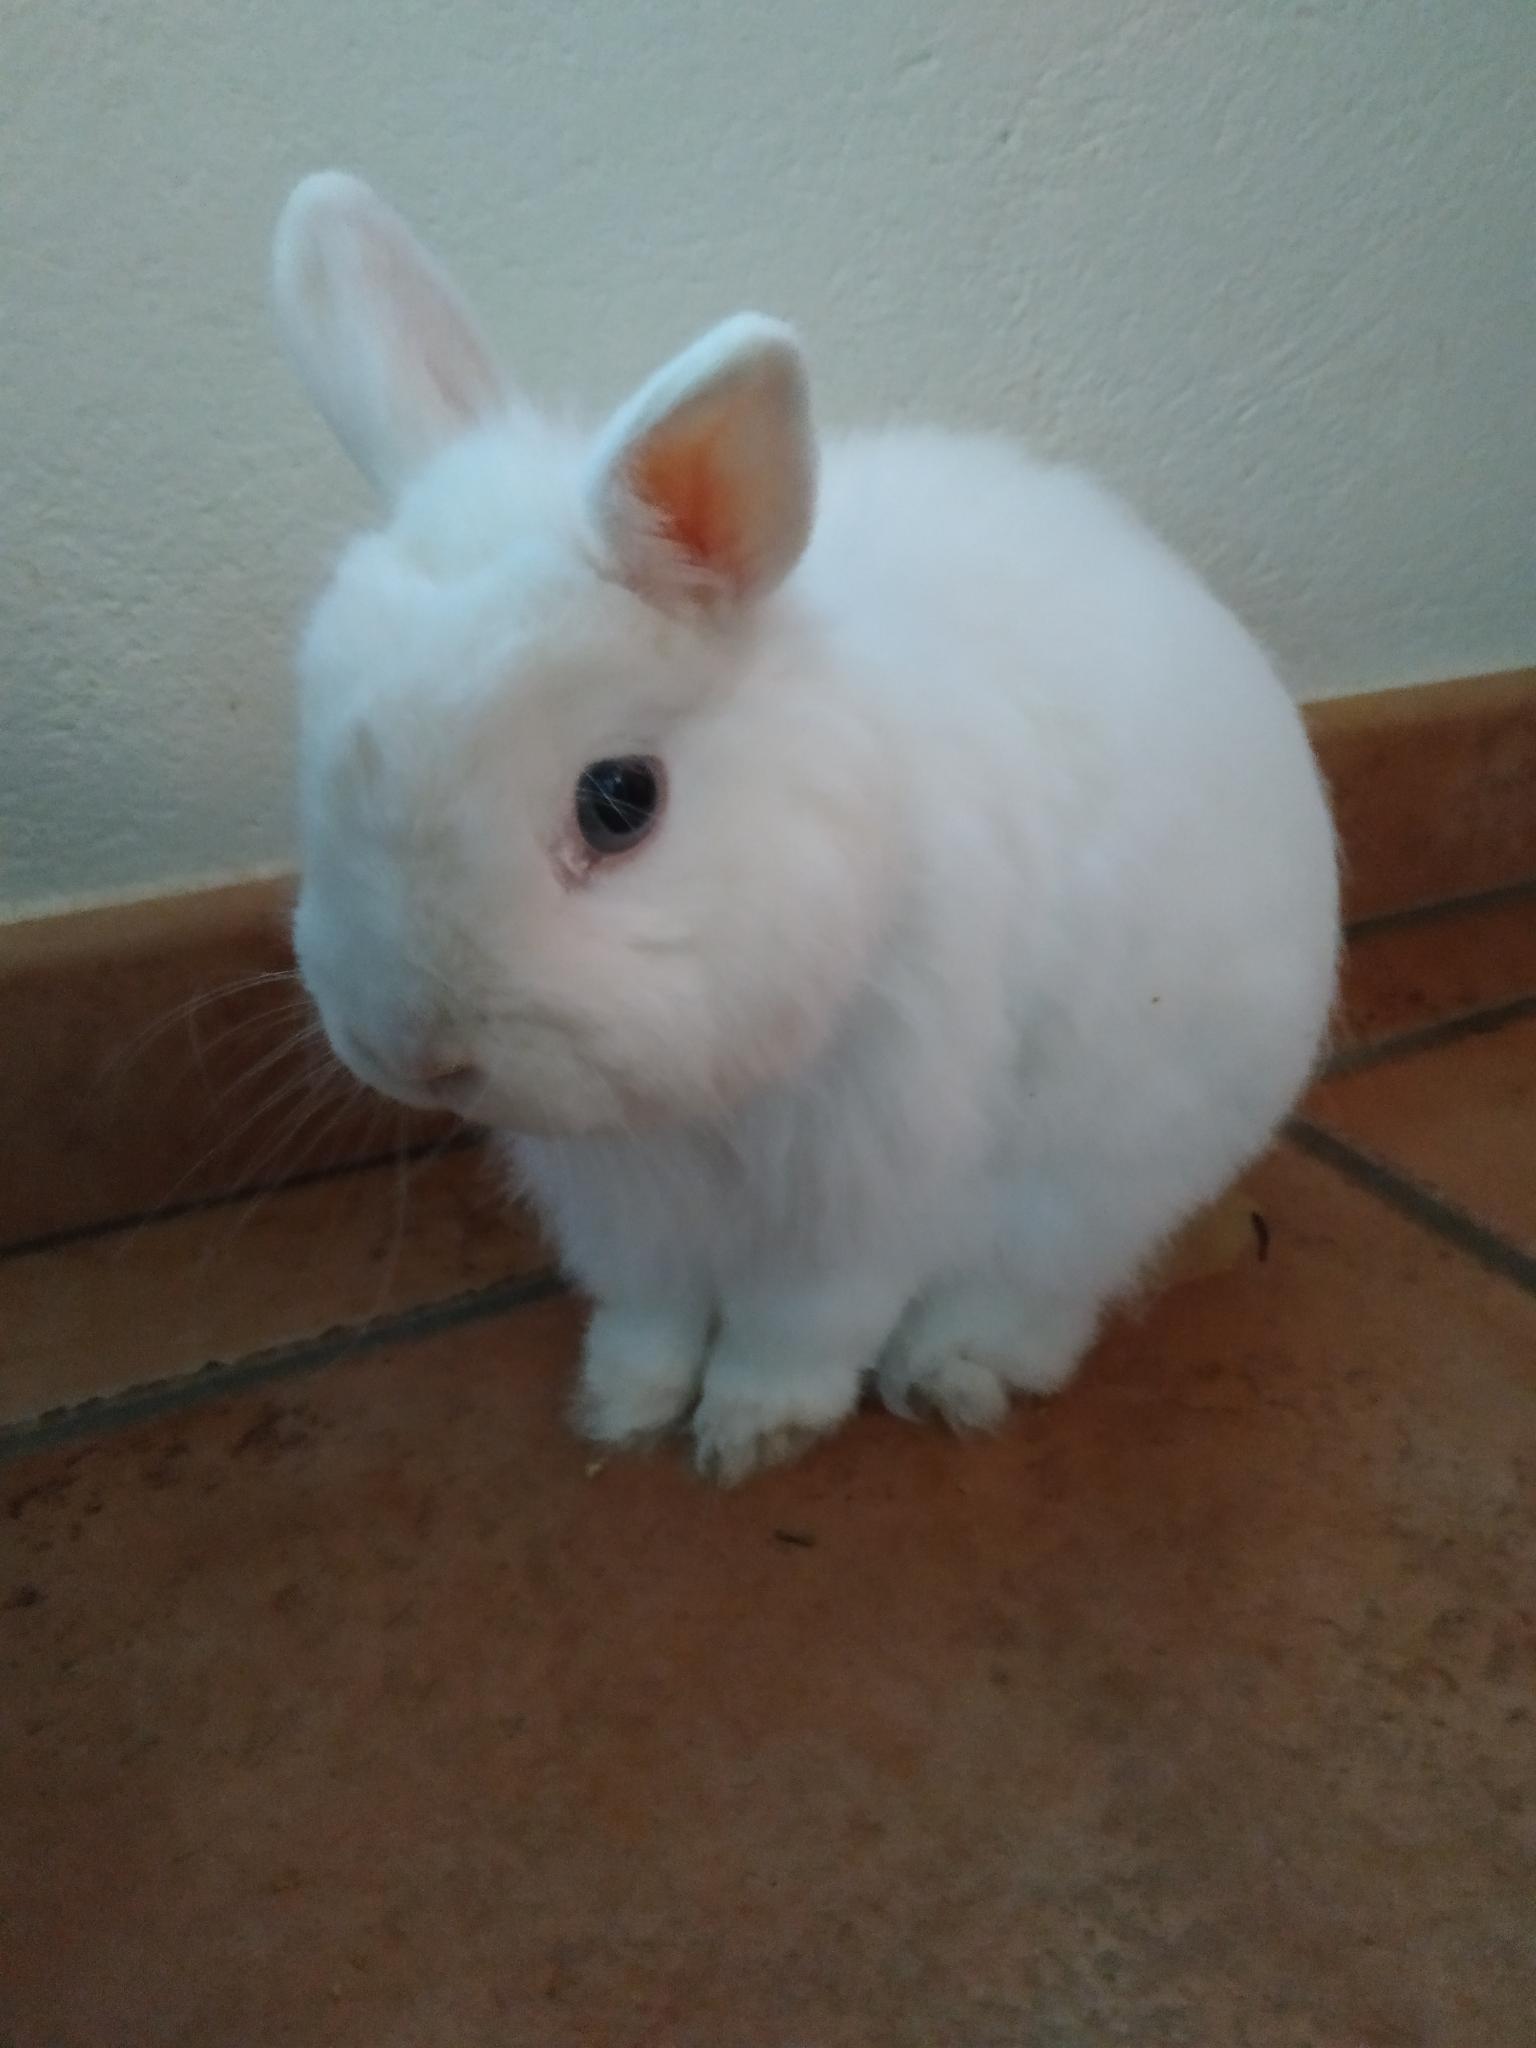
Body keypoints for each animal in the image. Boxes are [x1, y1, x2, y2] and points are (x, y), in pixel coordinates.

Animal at [272, 172, 1340, 1484]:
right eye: (316, 759)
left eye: (619, 800)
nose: (408, 1051)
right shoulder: (629, 1205)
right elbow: (651, 1309)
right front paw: (622, 1405)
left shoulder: (872, 1188)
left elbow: (803, 1323)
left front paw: (750, 1433)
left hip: (1107, 1168)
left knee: (1044, 1293)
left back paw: (954, 1374)